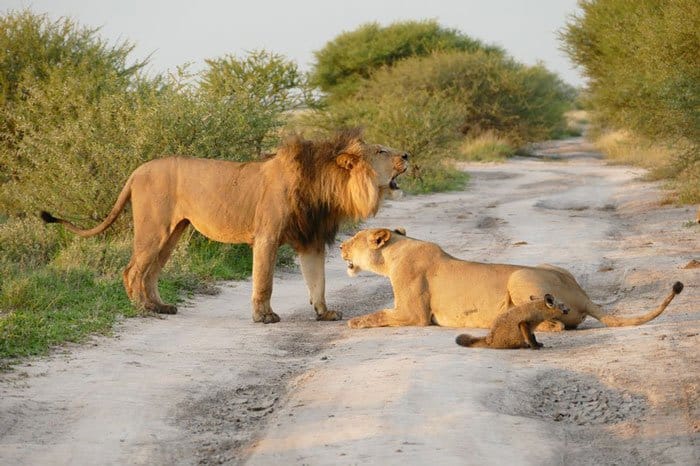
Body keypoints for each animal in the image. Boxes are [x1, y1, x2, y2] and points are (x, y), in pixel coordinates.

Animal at [41, 129, 408, 322]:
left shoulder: (311, 240)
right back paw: (144, 309)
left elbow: (317, 282)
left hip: (173, 232)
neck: (325, 185)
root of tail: (137, 170)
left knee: (152, 271)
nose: (406, 155)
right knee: (132, 269)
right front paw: (264, 317)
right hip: (153, 228)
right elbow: (264, 281)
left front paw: (324, 313)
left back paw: (160, 306)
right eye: (380, 151)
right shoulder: (267, 236)